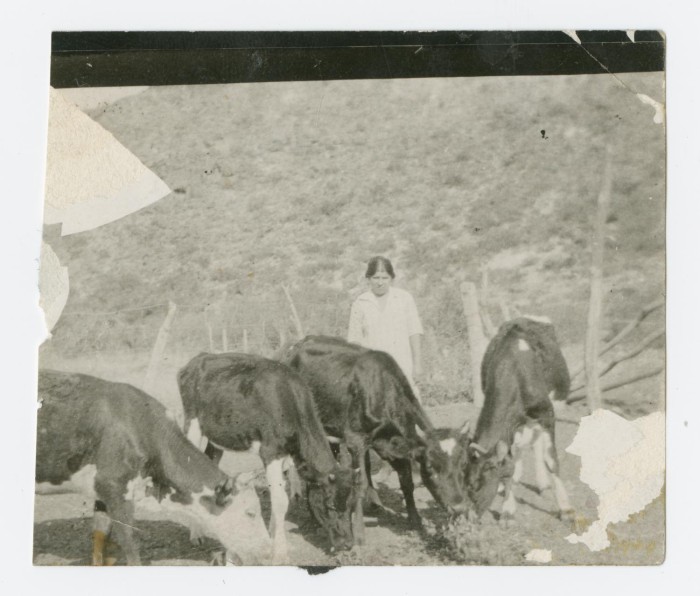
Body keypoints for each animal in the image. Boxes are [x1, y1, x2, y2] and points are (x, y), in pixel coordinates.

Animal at [35, 370, 272, 566]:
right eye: (251, 513)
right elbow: (131, 544)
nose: (267, 552)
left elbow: (100, 537)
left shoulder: (102, 491)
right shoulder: (115, 487)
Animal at [177, 352, 355, 563]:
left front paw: (272, 539)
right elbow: (280, 501)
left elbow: (277, 495)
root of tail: (199, 357)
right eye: (330, 505)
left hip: (218, 437)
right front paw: (280, 553)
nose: (348, 544)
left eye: (351, 504)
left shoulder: (283, 454)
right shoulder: (270, 452)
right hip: (192, 425)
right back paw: (196, 534)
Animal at [282, 335, 469, 546]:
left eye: (463, 465)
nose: (459, 507)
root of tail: (299, 343)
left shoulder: (395, 444)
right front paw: (359, 534)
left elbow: (406, 481)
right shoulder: (355, 440)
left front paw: (415, 520)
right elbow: (360, 484)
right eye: (429, 467)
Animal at [463, 317, 576, 525]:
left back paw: (543, 484)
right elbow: (510, 463)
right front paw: (508, 509)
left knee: (537, 446)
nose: (467, 517)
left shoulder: (547, 415)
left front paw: (566, 509)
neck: (514, 371)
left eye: (475, 486)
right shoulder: (510, 428)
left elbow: (551, 460)